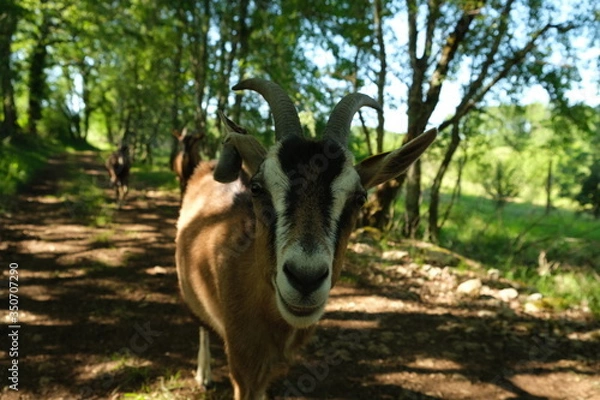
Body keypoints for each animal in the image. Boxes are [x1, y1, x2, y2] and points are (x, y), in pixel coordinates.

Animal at [173, 79, 436, 400]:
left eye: (359, 199)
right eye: (257, 188)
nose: (305, 278)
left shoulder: (270, 367)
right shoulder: (243, 362)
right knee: (201, 324)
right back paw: (205, 375)